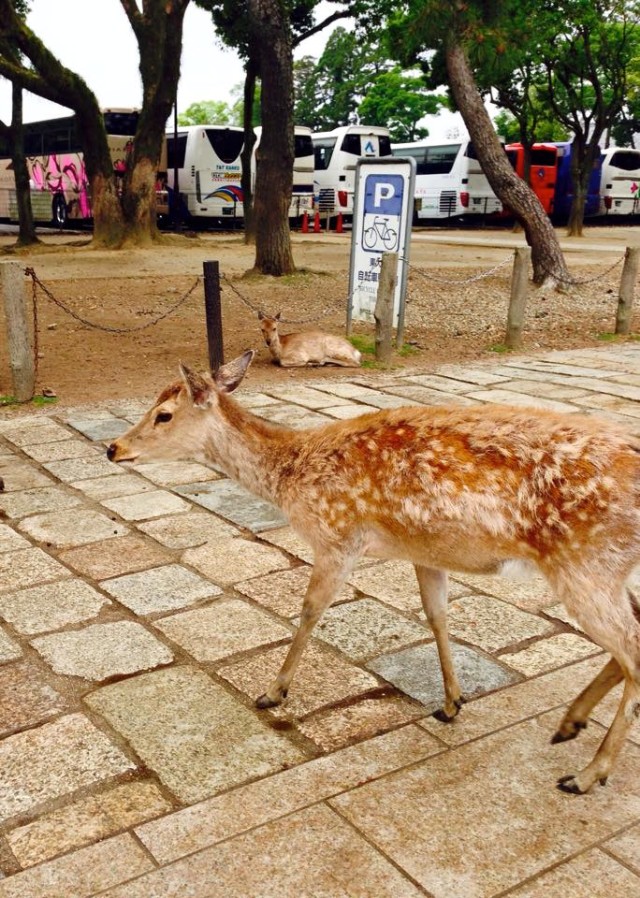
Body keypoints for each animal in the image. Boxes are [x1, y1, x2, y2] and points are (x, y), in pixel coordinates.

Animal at [107, 350, 640, 792]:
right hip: (608, 570)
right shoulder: (424, 552)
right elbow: (437, 615)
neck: (292, 476)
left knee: (632, 648)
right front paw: (452, 702)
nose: (113, 448)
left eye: (163, 414)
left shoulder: (337, 537)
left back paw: (588, 773)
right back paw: (570, 723)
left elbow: (310, 610)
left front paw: (273, 692)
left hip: (585, 564)